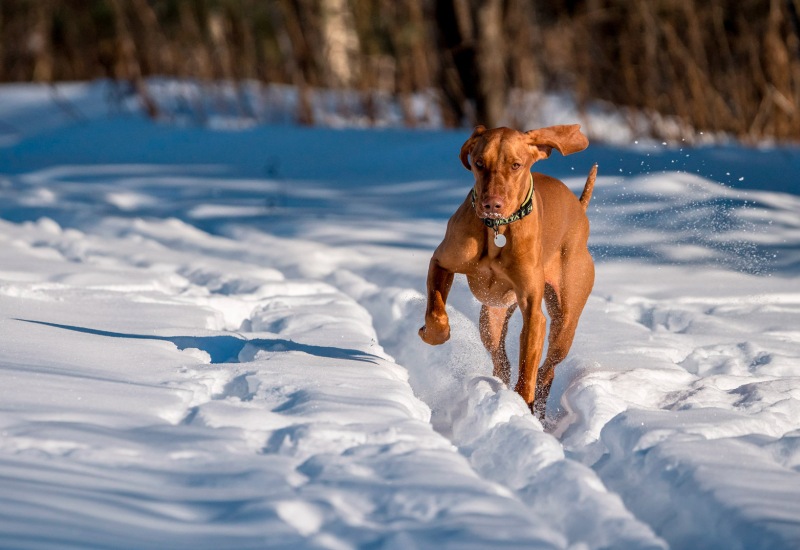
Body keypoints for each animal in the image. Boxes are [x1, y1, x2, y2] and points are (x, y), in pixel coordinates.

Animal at [418, 125, 592, 418]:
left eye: (515, 165)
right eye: (479, 163)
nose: (492, 204)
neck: (497, 229)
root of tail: (579, 208)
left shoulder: (533, 313)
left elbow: (528, 367)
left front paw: (522, 403)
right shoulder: (441, 263)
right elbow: (436, 314)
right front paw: (431, 334)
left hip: (565, 322)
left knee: (547, 369)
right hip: (491, 318)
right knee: (502, 361)